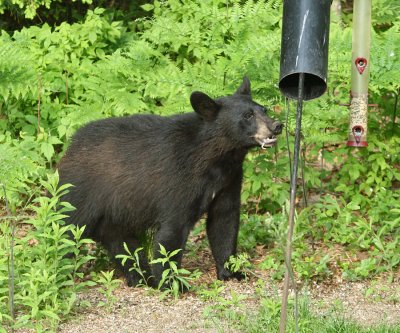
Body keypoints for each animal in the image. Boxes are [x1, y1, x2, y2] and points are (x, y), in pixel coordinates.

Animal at [57, 77, 282, 286]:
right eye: (247, 116)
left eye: (263, 109)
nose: (276, 126)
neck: (216, 157)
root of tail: (70, 146)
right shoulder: (177, 179)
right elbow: (172, 230)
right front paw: (172, 283)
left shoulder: (229, 179)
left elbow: (224, 221)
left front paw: (232, 273)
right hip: (81, 191)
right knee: (66, 227)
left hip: (114, 212)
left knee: (121, 242)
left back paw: (140, 277)